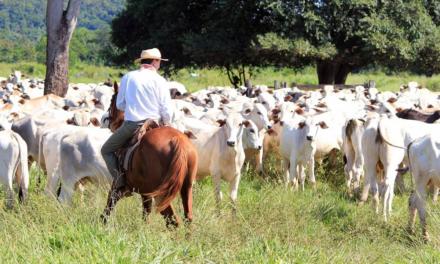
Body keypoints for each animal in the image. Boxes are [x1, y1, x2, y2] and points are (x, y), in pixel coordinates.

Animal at [100, 82, 199, 227]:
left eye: (112, 100)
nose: (107, 121)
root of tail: (177, 140)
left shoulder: (118, 186)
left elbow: (109, 205)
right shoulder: (145, 194)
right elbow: (145, 215)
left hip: (161, 194)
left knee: (173, 220)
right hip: (186, 188)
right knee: (187, 218)